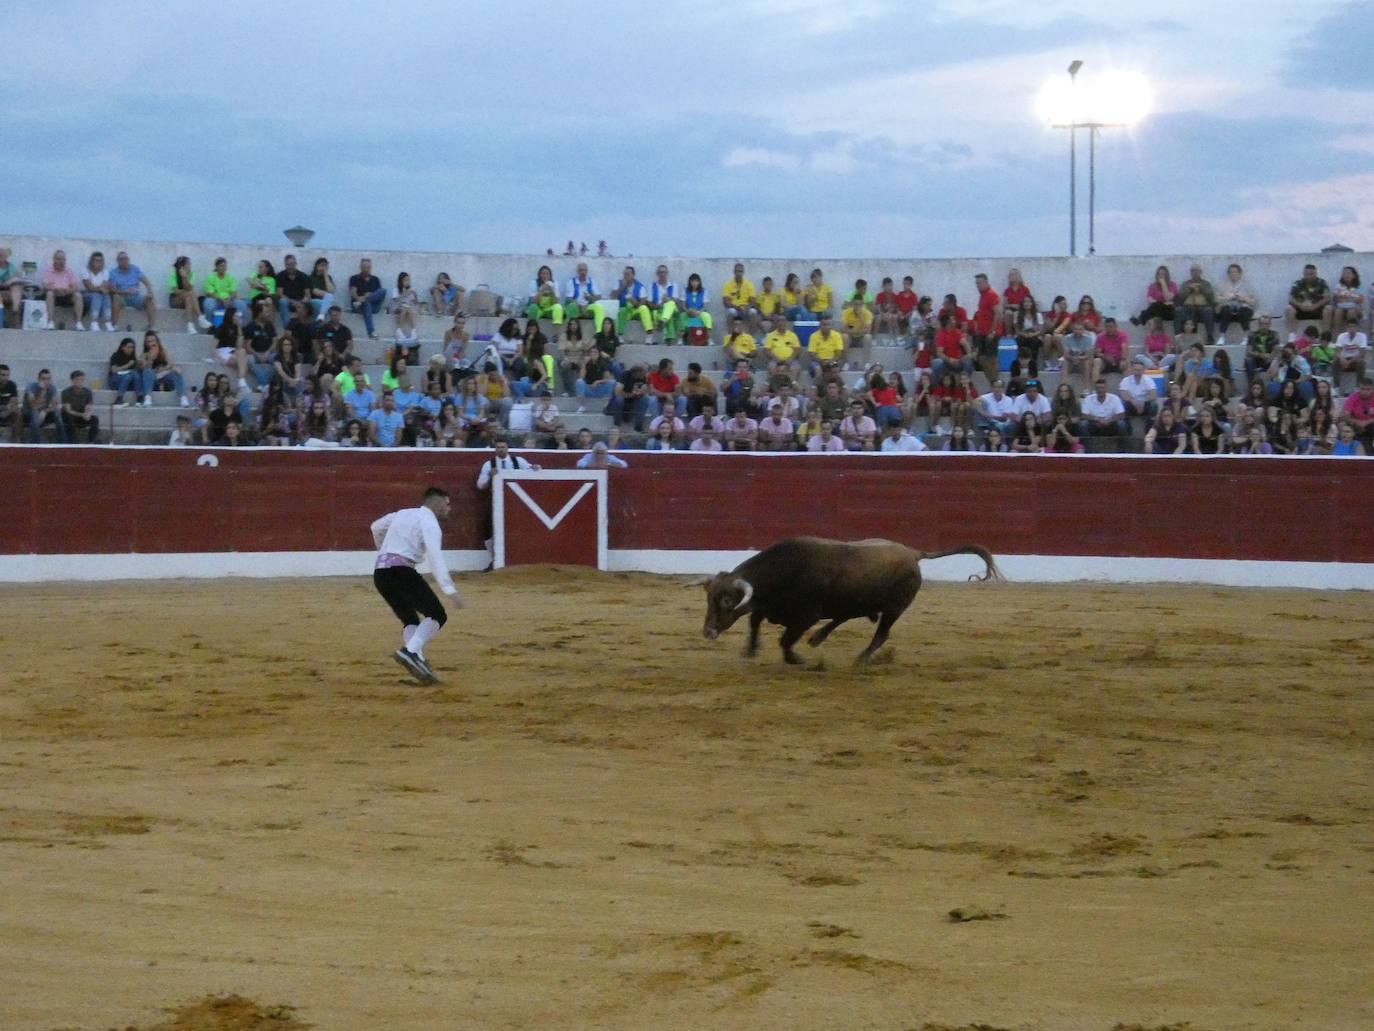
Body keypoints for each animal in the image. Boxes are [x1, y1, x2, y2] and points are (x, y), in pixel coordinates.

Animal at [703, 536, 1005, 665]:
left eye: (727, 600)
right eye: (709, 598)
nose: (707, 632)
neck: (782, 571)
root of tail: (913, 553)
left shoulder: (806, 616)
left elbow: (785, 639)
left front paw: (795, 659)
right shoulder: (767, 607)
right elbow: (754, 622)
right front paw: (750, 650)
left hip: (894, 608)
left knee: (880, 634)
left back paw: (861, 659)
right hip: (860, 600)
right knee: (846, 615)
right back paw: (818, 638)